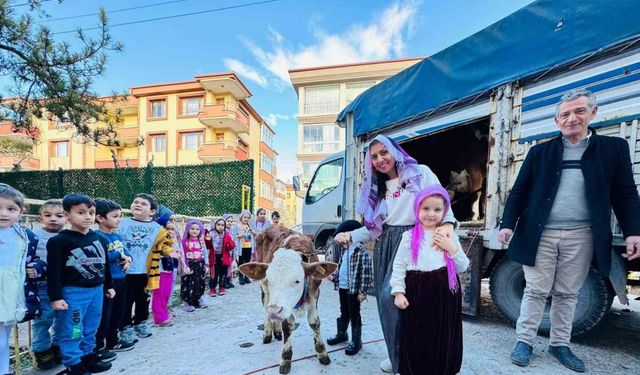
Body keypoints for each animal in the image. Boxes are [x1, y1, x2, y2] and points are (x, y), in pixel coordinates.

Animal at [240, 225, 338, 374]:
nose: (274, 311)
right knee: (265, 306)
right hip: (264, 290)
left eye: (297, 281)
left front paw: (322, 353)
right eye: (270, 279)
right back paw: (268, 333)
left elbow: (314, 323)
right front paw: (285, 359)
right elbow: (287, 326)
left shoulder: (315, 293)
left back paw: (276, 331)